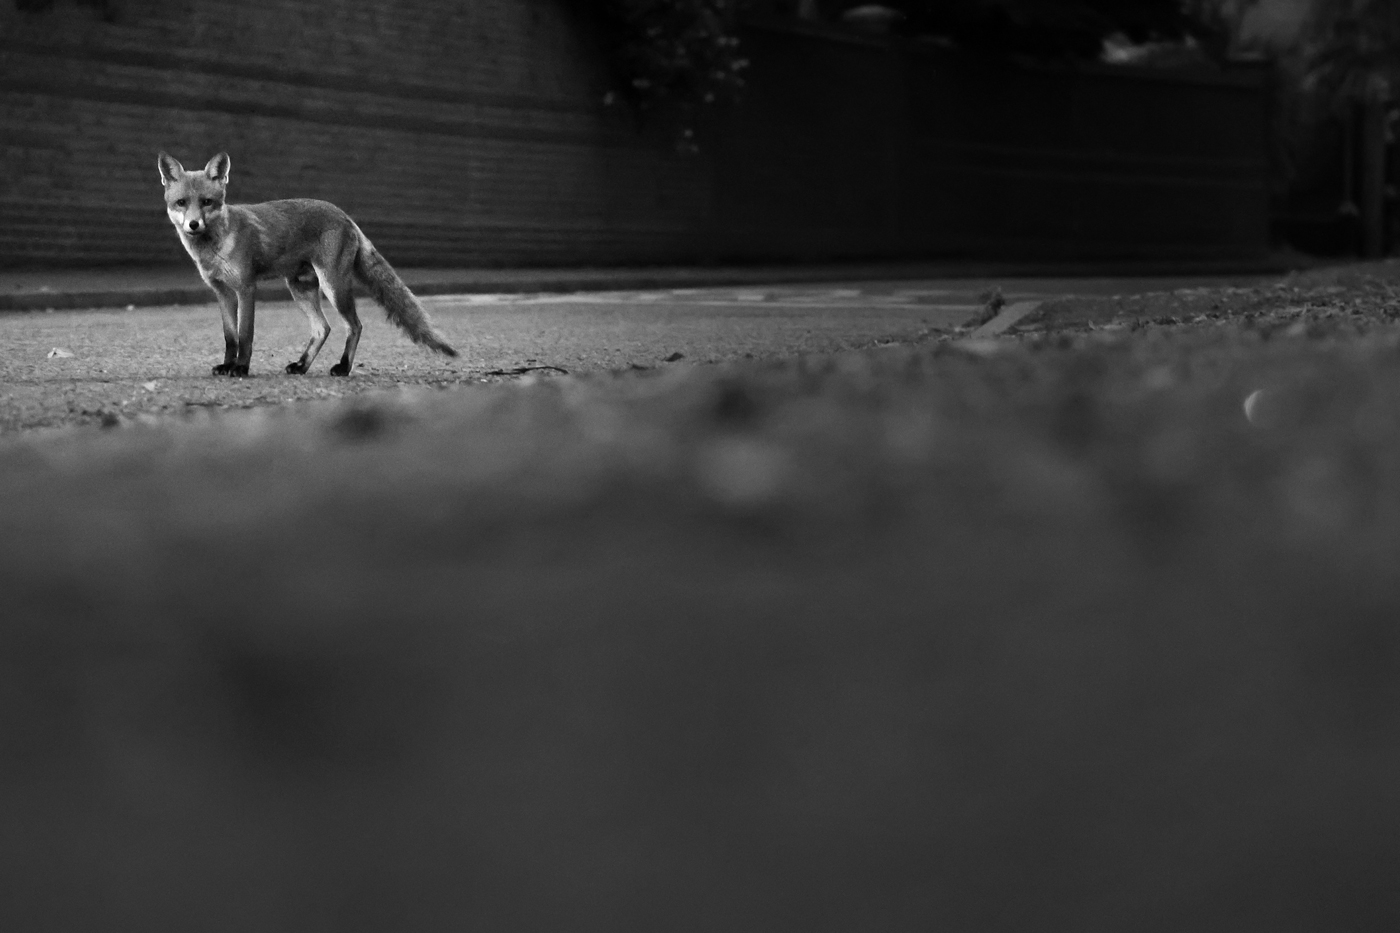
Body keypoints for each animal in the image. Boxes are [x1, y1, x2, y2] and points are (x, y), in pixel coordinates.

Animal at [157, 151, 457, 377]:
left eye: (207, 202)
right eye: (181, 202)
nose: (193, 224)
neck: (215, 247)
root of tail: (345, 215)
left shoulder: (246, 288)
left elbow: (245, 335)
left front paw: (241, 368)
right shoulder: (223, 292)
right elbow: (230, 337)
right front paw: (227, 366)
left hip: (333, 286)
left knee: (355, 325)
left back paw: (343, 368)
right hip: (300, 289)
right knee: (322, 328)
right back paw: (302, 365)